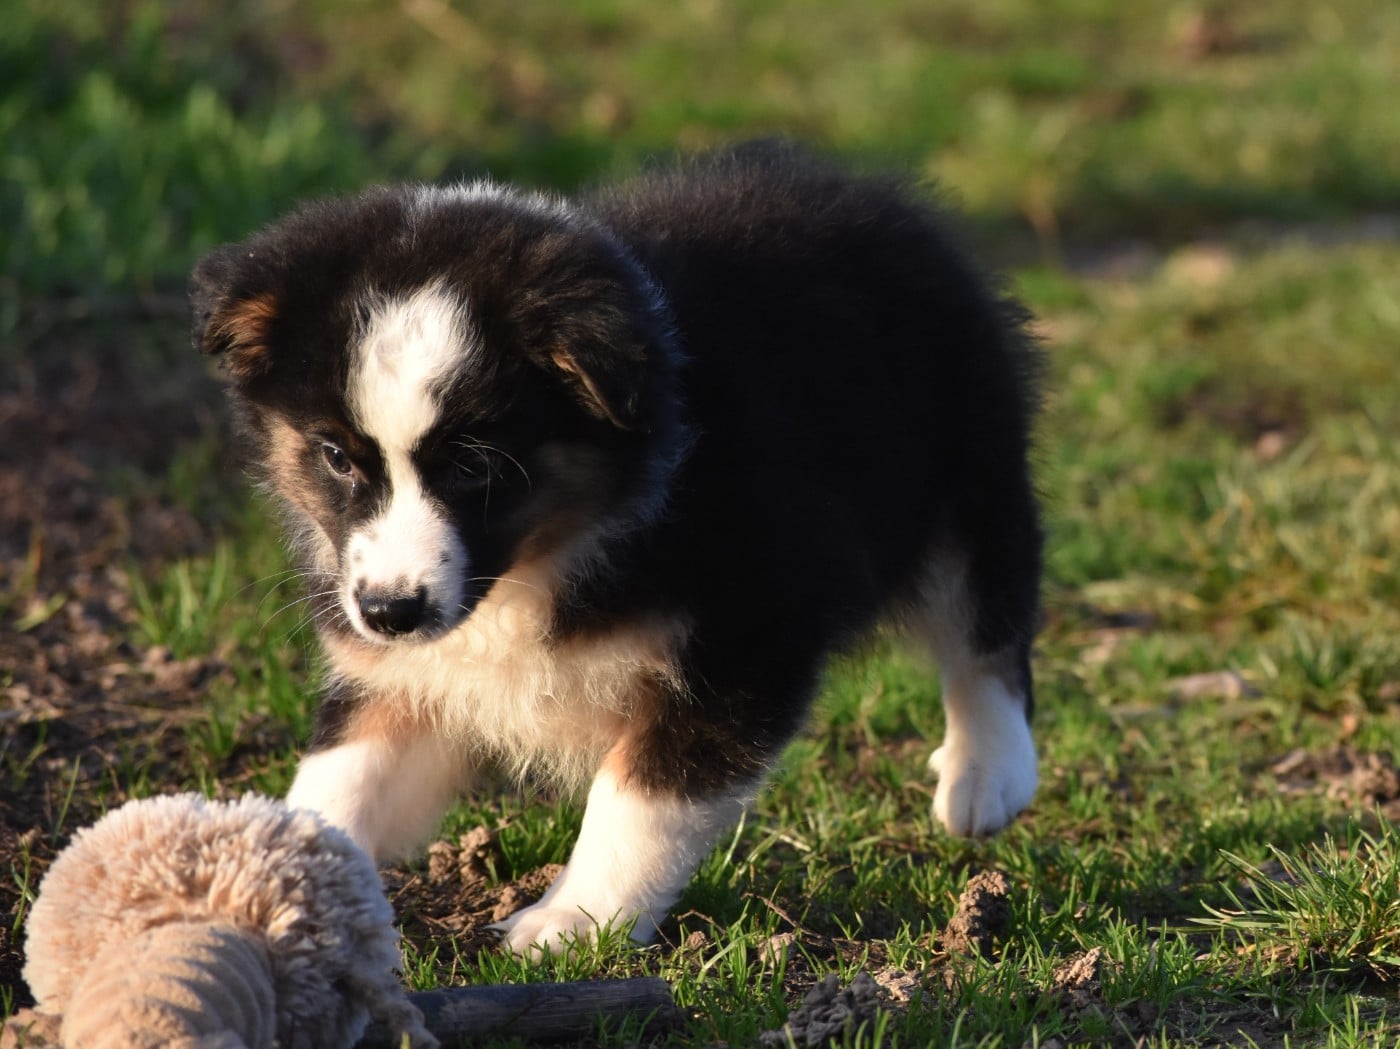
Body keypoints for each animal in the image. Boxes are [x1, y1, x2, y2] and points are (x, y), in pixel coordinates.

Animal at [191, 141, 1043, 955]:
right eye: (336, 456)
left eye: (473, 465)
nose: (389, 611)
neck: (557, 550)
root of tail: (879, 199)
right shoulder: (404, 671)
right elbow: (338, 782)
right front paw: (239, 890)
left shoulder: (747, 631)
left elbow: (640, 800)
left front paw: (570, 921)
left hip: (969, 479)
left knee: (989, 626)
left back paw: (986, 774)